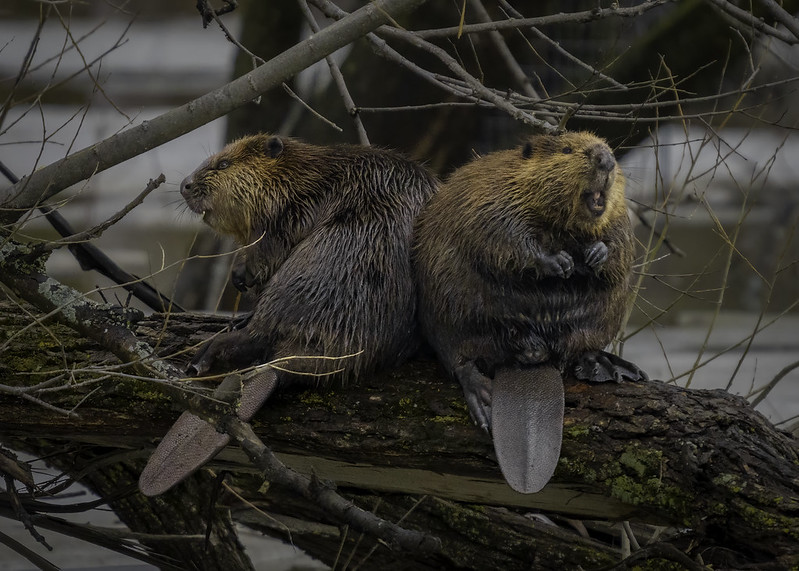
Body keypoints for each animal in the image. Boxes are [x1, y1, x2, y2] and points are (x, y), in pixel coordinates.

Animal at [138, 135, 438, 496]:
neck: (306, 177)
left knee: (258, 333)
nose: (185, 185)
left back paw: (204, 357)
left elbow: (271, 250)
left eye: (223, 164)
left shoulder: (296, 210)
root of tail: (280, 366)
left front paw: (242, 274)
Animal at [416, 132, 648, 494]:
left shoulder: (618, 211)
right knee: (459, 358)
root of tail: (530, 359)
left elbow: (620, 239)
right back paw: (483, 397)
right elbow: (504, 235)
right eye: (567, 149)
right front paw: (559, 262)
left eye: (608, 146)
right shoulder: (493, 197)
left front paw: (596, 253)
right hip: (448, 308)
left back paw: (607, 365)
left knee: (583, 345)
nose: (607, 160)